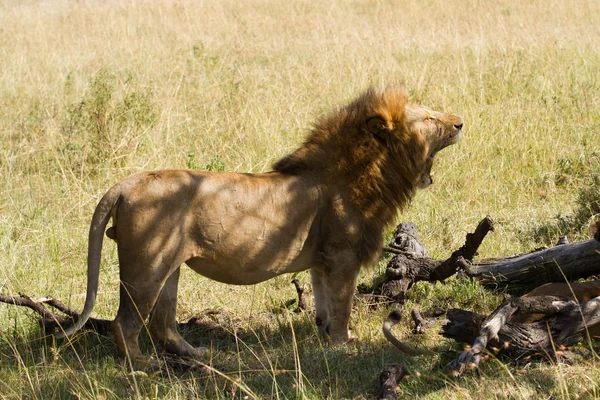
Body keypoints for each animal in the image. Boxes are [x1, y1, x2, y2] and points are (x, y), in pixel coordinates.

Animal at [55, 86, 464, 362]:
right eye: (429, 118)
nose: (460, 122)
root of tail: (123, 185)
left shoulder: (322, 261)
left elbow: (324, 305)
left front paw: (325, 339)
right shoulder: (342, 256)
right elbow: (344, 304)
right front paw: (343, 345)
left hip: (169, 266)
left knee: (163, 324)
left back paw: (195, 354)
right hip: (146, 267)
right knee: (124, 323)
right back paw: (142, 365)